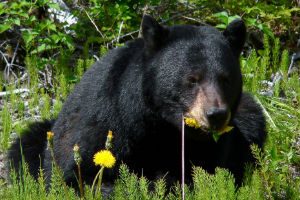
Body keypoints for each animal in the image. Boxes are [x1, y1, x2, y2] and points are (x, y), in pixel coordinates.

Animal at [7, 15, 264, 188]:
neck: (159, 124)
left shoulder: (211, 147)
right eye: (192, 79)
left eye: (226, 79)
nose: (215, 115)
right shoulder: (105, 121)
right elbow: (79, 174)